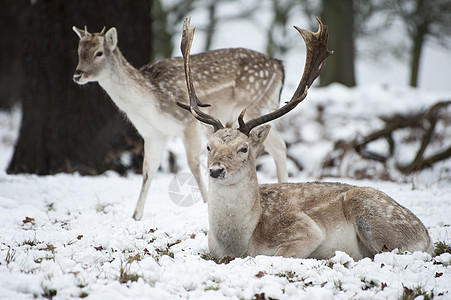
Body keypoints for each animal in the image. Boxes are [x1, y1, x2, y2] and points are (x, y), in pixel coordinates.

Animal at [72, 19, 288, 219]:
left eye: (99, 53)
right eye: (79, 51)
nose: (77, 75)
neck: (149, 102)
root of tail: (279, 65)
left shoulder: (188, 122)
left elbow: (193, 164)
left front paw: (207, 203)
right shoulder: (153, 134)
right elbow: (147, 170)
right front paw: (136, 216)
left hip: (252, 105)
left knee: (274, 144)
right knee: (279, 145)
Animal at [177, 17, 434, 260]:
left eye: (244, 148)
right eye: (209, 147)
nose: (216, 170)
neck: (240, 242)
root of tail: (427, 236)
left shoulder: (306, 230)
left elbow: (281, 253)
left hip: (374, 214)